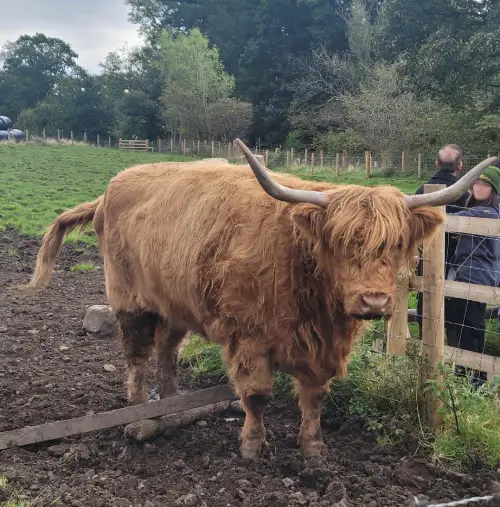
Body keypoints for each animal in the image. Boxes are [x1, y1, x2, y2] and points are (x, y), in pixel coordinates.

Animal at [26, 144, 496, 460]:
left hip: (175, 302)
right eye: (339, 242)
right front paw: (253, 445)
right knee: (137, 355)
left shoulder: (321, 348)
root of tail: (112, 187)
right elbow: (256, 395)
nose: (375, 300)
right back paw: (141, 411)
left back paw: (171, 405)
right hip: (128, 298)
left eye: (396, 244)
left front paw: (313, 447)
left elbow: (314, 397)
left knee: (166, 351)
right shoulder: (249, 336)